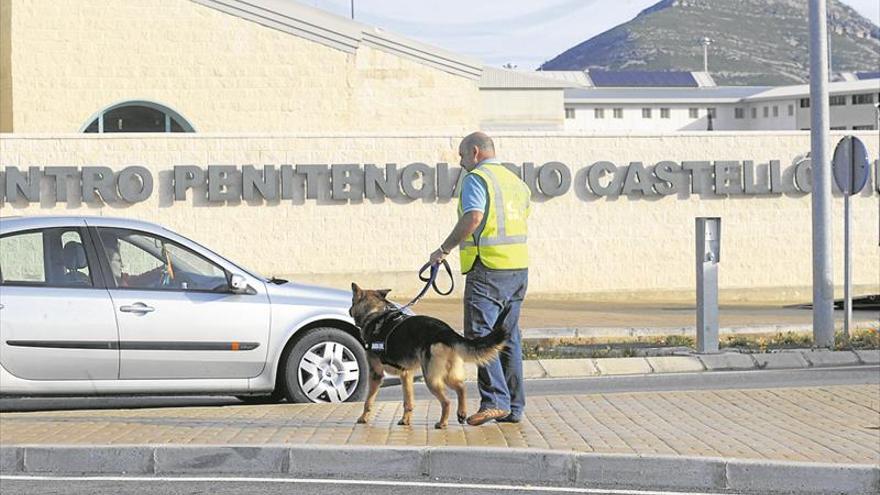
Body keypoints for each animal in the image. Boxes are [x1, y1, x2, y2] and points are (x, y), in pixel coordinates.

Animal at [348, 282, 506, 430]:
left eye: (352, 301)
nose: (349, 310)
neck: (375, 313)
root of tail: (445, 331)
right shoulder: (406, 374)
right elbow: (408, 401)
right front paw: (405, 420)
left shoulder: (376, 374)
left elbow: (368, 401)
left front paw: (363, 418)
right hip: (446, 375)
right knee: (461, 387)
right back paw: (461, 413)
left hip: (431, 378)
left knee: (447, 401)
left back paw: (442, 423)